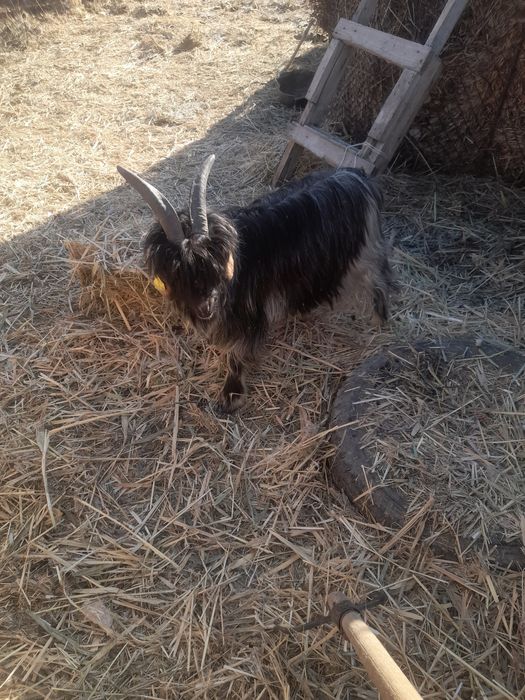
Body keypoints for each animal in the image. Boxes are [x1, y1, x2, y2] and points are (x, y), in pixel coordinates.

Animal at [117, 155, 393, 412]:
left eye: (214, 266)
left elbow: (237, 353)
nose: (206, 308)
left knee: (377, 277)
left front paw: (232, 395)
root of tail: (357, 176)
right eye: (177, 272)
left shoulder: (249, 311)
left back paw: (379, 320)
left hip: (364, 249)